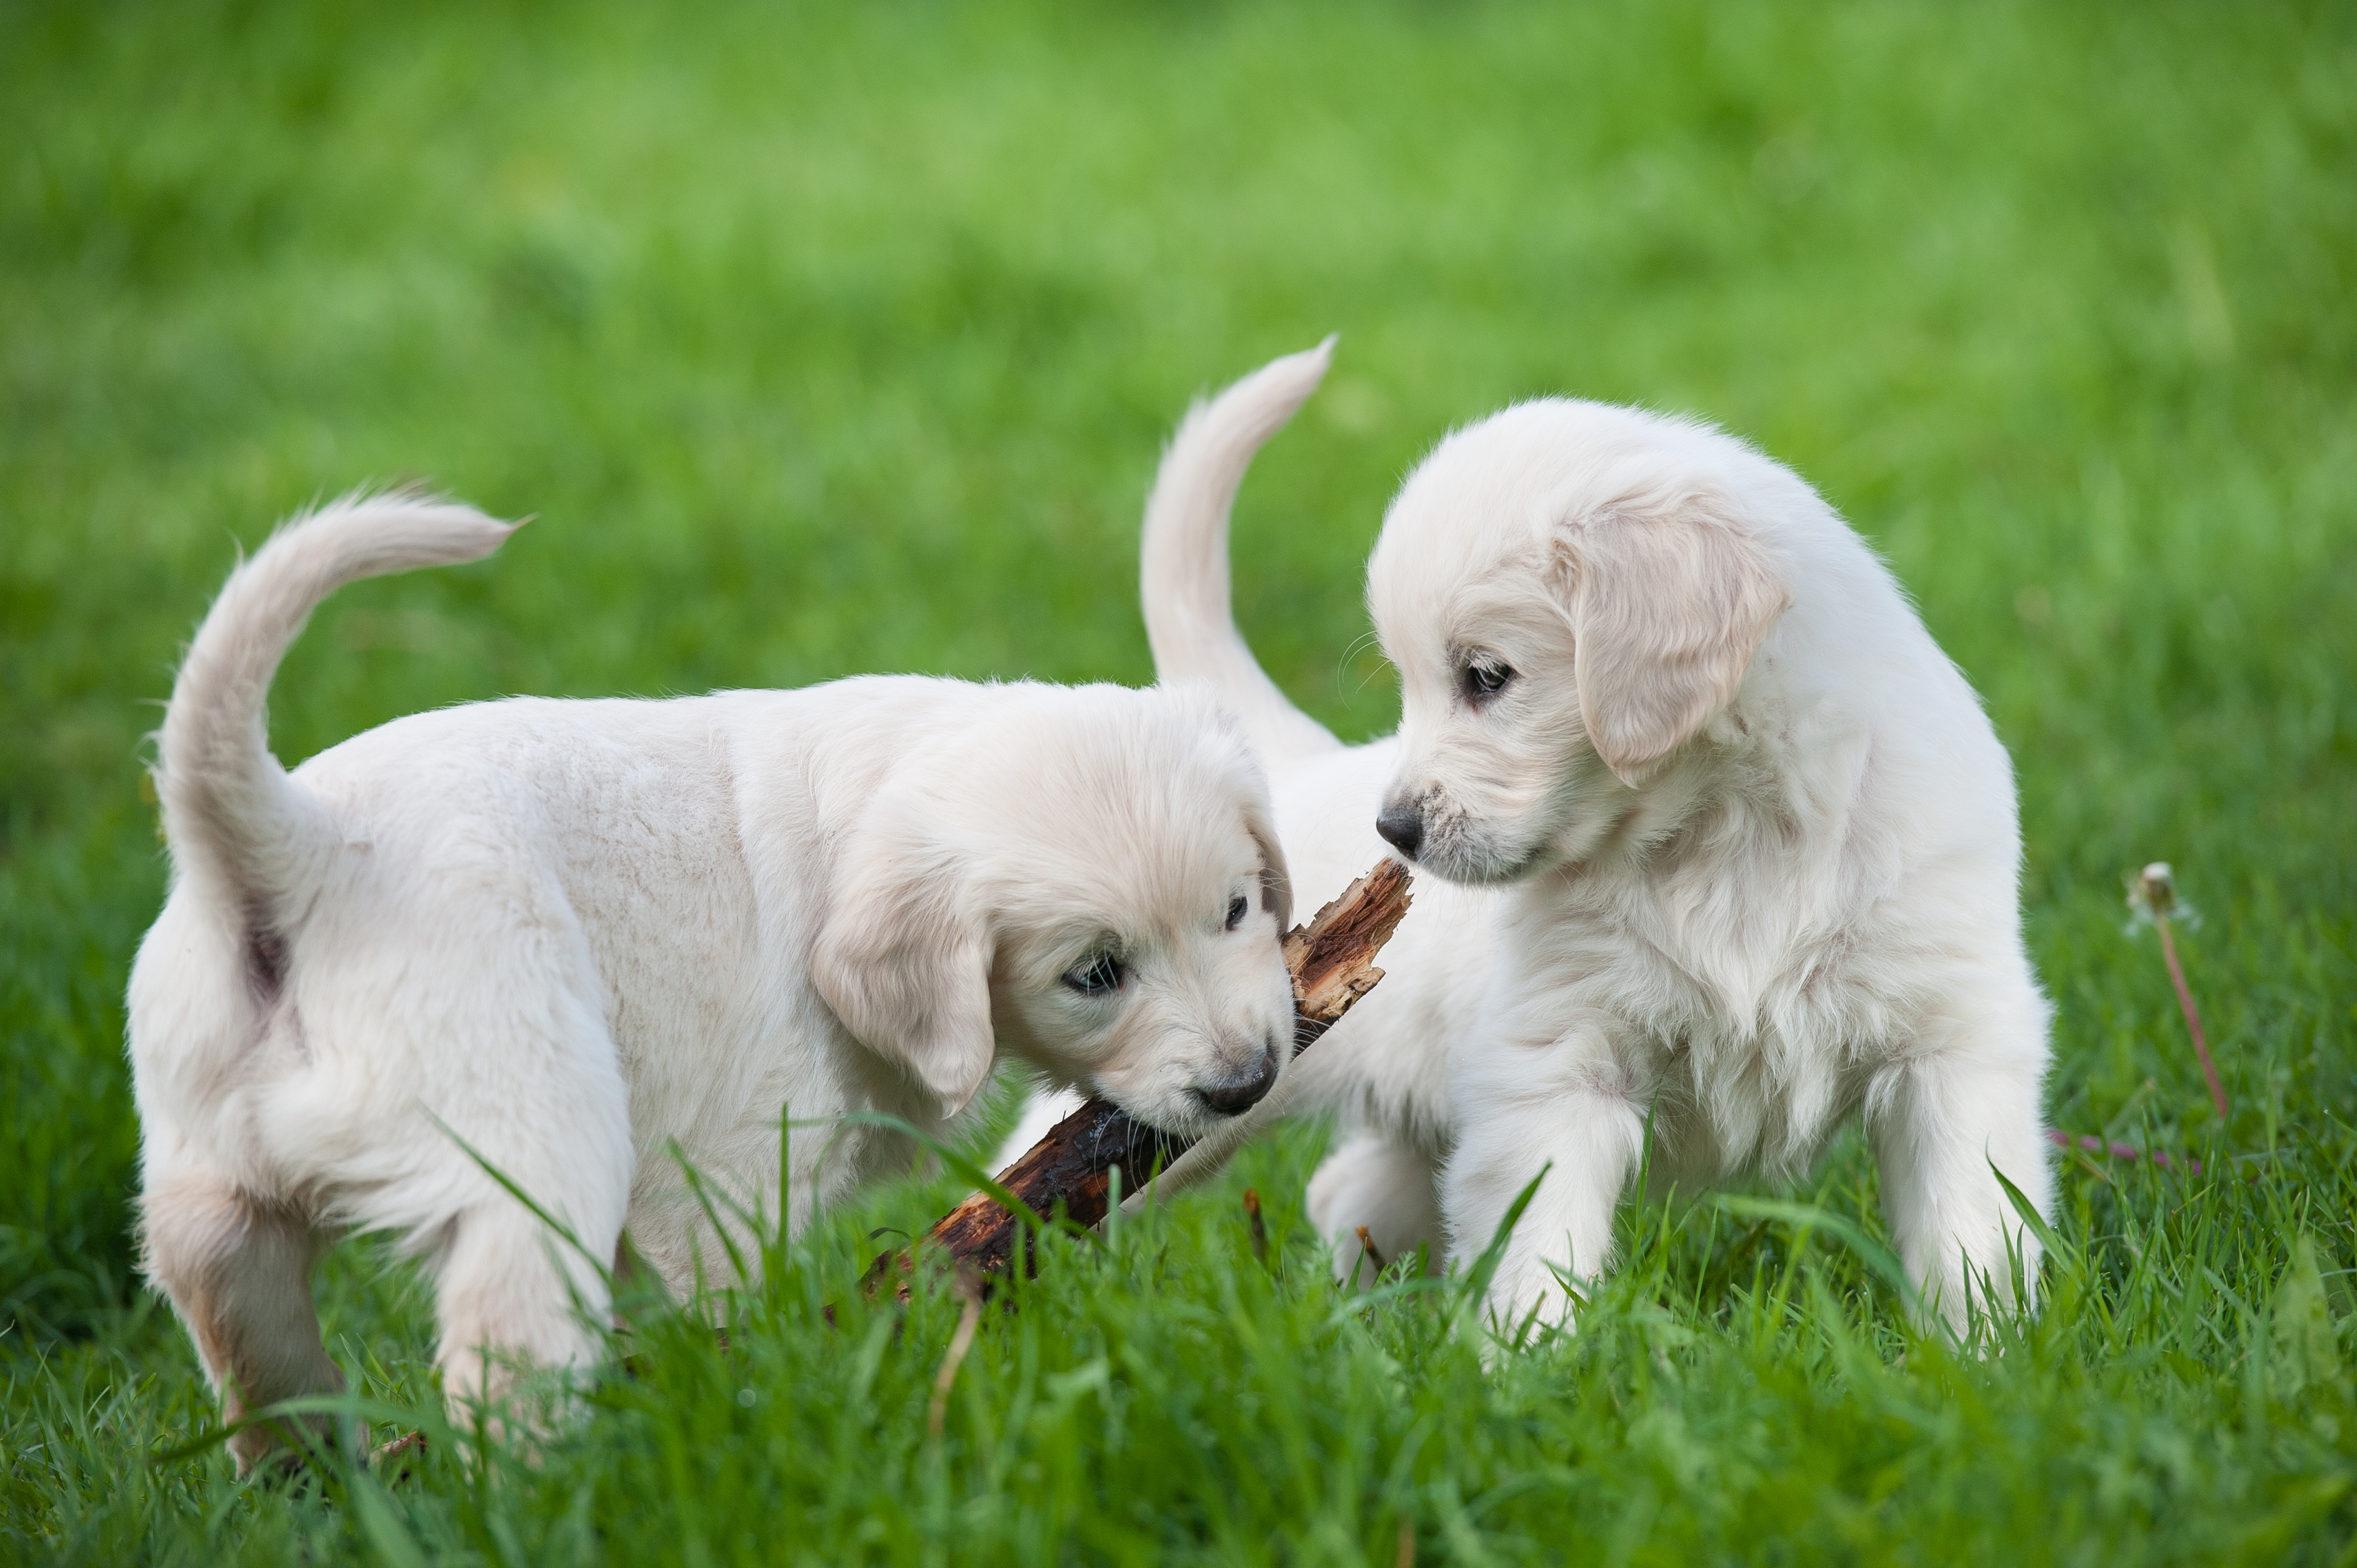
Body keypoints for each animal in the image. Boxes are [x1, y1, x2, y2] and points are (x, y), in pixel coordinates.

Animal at [135, 493, 1301, 1471]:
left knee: (228, 1298)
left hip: (210, 1166)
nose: (1246, 1083)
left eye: (1238, 909)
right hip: (534, 1132)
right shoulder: (732, 1173)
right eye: (1094, 973)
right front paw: (760, 1394)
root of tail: (305, 849)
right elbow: (724, 1299)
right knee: (506, 1355)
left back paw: (301, 1474)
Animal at [1136, 346, 2046, 1329]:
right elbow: (1541, 1240)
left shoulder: (1952, 1040)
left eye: (1485, 676)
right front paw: (1529, 1355)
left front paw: (1978, 1348)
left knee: (1348, 1193)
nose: (1393, 829)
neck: (1725, 836)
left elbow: (1968, 1224)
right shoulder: (1556, 1062)